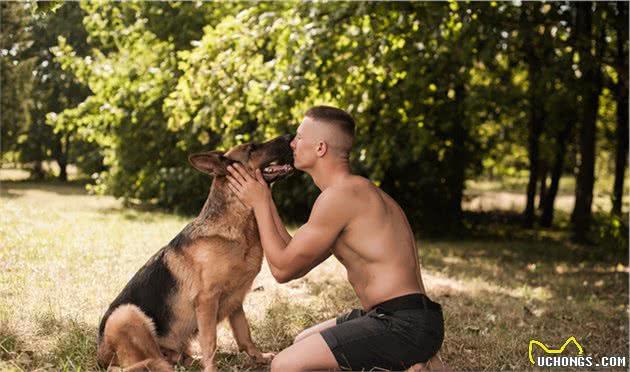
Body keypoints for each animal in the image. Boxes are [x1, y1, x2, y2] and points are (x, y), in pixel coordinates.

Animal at [97, 135, 296, 370]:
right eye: (252, 148)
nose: (290, 136)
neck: (237, 227)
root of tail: (100, 356)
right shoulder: (207, 301)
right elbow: (210, 341)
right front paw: (212, 369)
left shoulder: (236, 301)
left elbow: (244, 334)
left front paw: (258, 357)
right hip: (126, 314)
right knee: (148, 361)